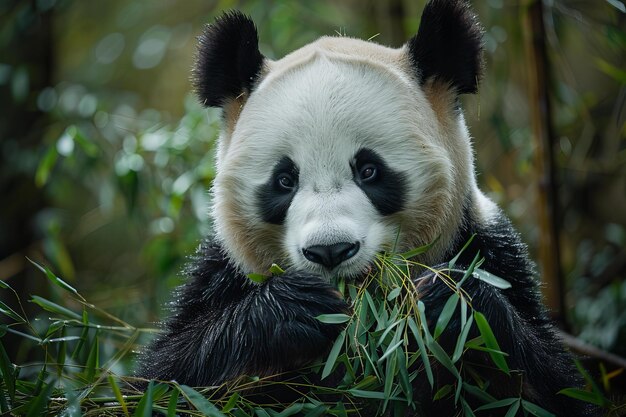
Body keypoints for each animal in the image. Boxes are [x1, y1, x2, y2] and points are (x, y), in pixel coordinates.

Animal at [138, 1, 596, 414]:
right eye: (284, 180)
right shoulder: (221, 276)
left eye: (369, 170)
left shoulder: (489, 250)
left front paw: (447, 299)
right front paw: (291, 310)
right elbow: (167, 381)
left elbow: (547, 384)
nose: (330, 251)